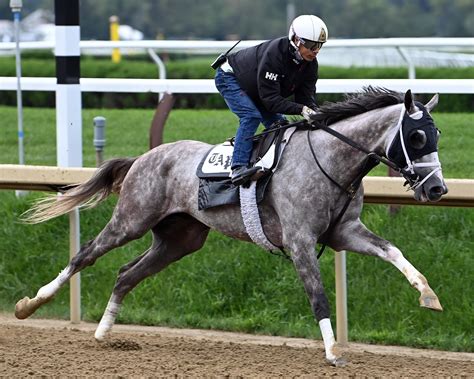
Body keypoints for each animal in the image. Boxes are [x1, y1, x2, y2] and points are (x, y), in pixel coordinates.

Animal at [14, 87, 448, 366]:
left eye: (437, 134)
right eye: (417, 136)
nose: (438, 189)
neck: (330, 160)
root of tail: (144, 156)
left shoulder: (344, 233)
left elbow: (393, 250)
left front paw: (428, 294)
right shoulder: (300, 242)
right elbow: (319, 296)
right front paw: (332, 351)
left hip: (179, 240)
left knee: (125, 274)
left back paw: (104, 334)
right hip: (132, 219)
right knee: (85, 255)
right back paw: (31, 304)